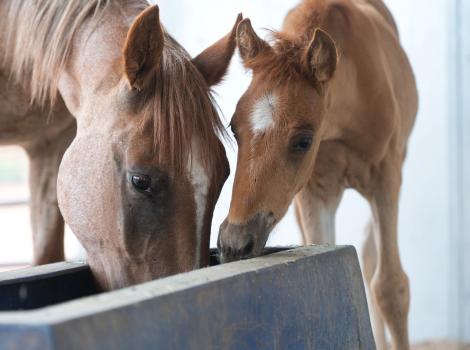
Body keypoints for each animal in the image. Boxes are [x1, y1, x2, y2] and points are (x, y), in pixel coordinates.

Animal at [218, 1, 418, 348]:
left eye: (303, 140)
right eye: (233, 126)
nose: (234, 244)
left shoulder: (386, 178)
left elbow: (391, 287)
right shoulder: (314, 191)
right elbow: (321, 255)